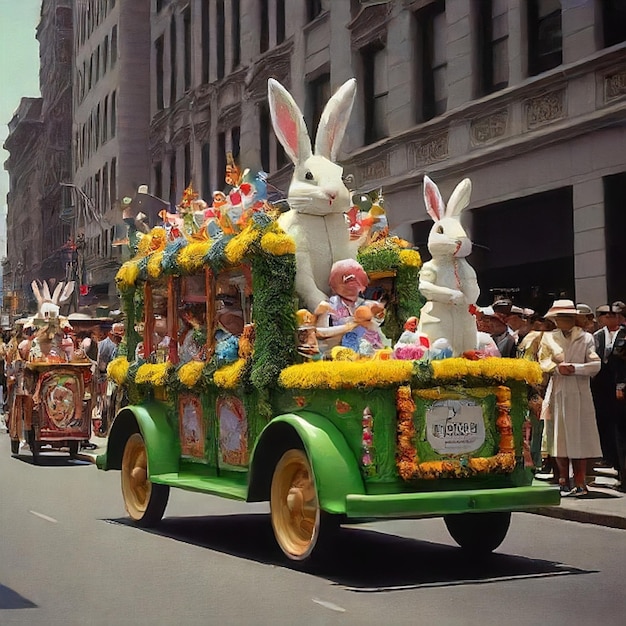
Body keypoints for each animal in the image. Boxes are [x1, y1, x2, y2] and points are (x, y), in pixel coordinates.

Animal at [266, 77, 358, 310]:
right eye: (308, 175)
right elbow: (307, 285)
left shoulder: (342, 253)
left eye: (340, 174)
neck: (321, 217)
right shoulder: (300, 258)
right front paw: (323, 305)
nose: (332, 194)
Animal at [420, 174, 478, 356]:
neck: (450, 260)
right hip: (438, 329)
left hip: (470, 332)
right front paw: (459, 297)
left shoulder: (469, 273)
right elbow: (427, 287)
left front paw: (466, 299)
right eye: (440, 230)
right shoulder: (427, 271)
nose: (461, 241)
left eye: (463, 229)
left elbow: (474, 290)